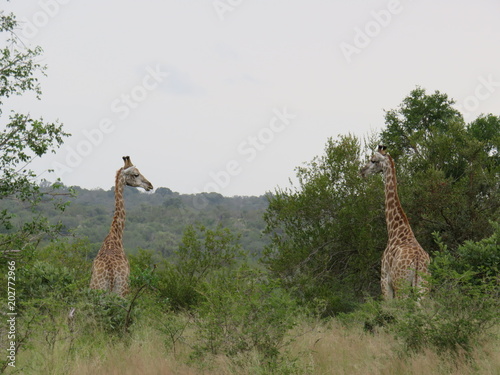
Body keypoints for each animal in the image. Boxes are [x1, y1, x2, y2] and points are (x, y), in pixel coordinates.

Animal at [89, 156, 153, 296]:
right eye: (136, 174)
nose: (150, 185)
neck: (115, 236)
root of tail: (111, 275)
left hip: (96, 290)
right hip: (122, 291)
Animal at [360, 146, 430, 300]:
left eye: (373, 160)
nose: (362, 171)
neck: (395, 230)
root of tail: (417, 260)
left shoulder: (385, 280)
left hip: (401, 284)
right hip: (423, 285)